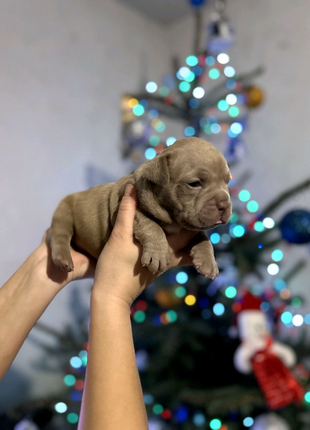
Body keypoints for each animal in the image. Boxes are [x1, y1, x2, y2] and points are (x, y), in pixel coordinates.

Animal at [47, 138, 232, 278]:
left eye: (227, 181)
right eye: (194, 184)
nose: (224, 205)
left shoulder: (191, 226)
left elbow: (203, 236)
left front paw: (208, 261)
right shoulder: (127, 206)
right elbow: (151, 225)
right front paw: (157, 254)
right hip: (64, 213)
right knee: (58, 234)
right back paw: (63, 258)